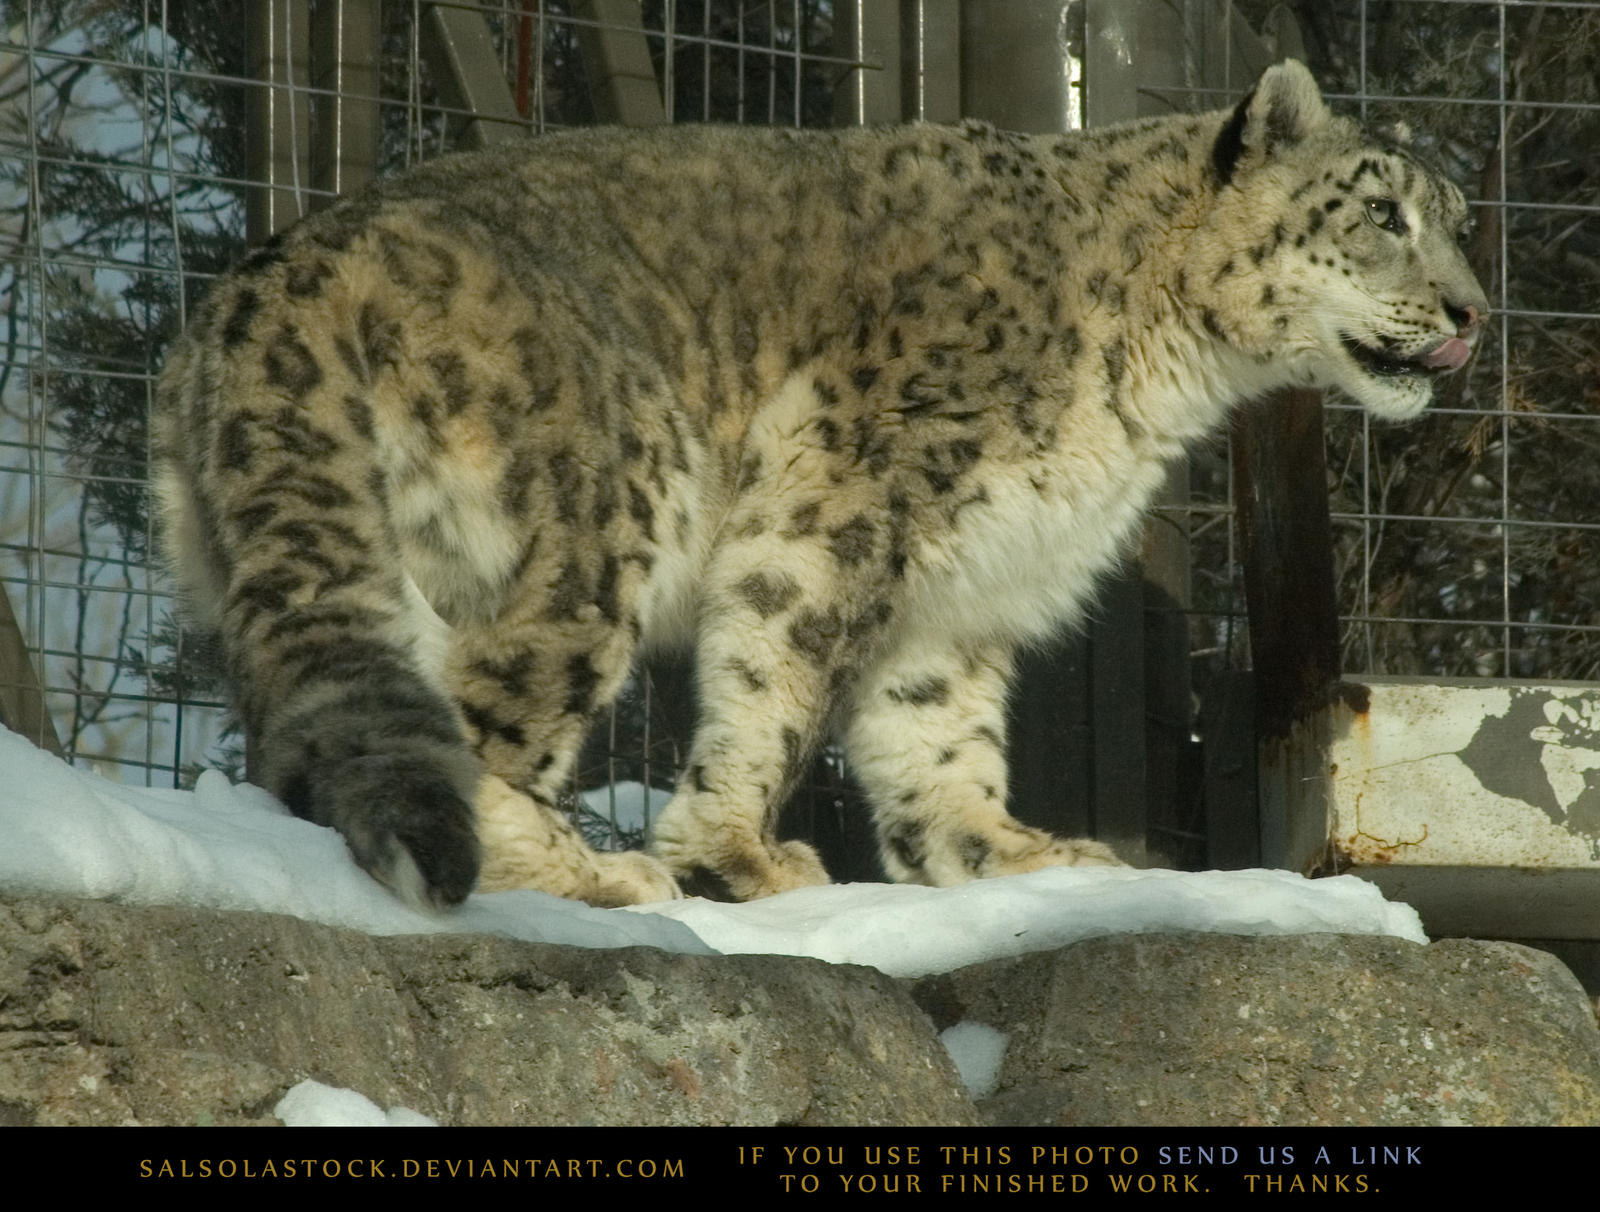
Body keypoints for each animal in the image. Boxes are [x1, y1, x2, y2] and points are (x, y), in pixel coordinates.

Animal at [151, 59, 1487, 910]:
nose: (1474, 312)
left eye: (1462, 222)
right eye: (1382, 213)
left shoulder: (965, 577)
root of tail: (272, 280)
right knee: (485, 709)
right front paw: (737, 854)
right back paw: (591, 873)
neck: (1163, 374)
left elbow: (937, 728)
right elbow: (779, 672)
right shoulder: (849, 491)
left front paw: (1001, 852)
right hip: (604, 508)